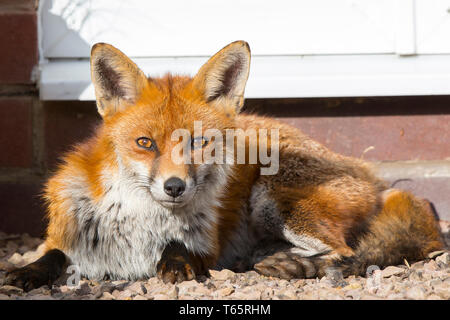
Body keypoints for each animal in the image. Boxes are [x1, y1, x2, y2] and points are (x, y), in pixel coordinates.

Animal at [5, 41, 444, 288]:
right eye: (145, 143)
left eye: (199, 142)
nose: (175, 187)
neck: (139, 222)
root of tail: (371, 175)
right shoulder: (65, 232)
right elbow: (53, 255)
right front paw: (28, 272)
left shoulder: (207, 246)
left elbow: (180, 248)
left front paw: (175, 264)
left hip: (274, 199)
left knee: (345, 251)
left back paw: (291, 265)